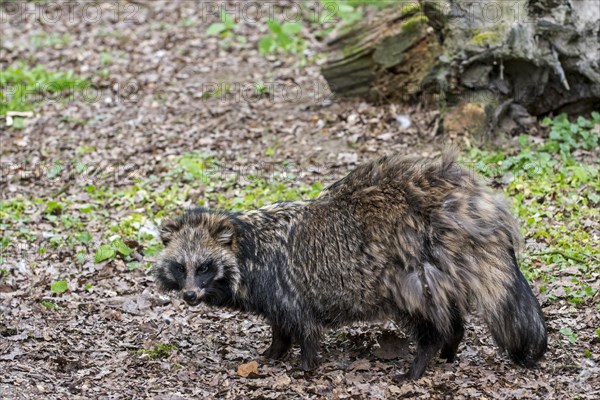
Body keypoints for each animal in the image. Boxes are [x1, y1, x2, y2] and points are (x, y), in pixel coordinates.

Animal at [156, 152, 548, 380]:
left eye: (204, 267)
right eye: (181, 267)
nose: (190, 295)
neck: (247, 244)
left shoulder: (285, 287)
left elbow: (302, 327)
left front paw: (305, 365)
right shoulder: (273, 296)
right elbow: (280, 327)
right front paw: (272, 353)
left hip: (411, 275)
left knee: (429, 320)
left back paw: (422, 361)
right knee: (451, 316)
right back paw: (449, 349)